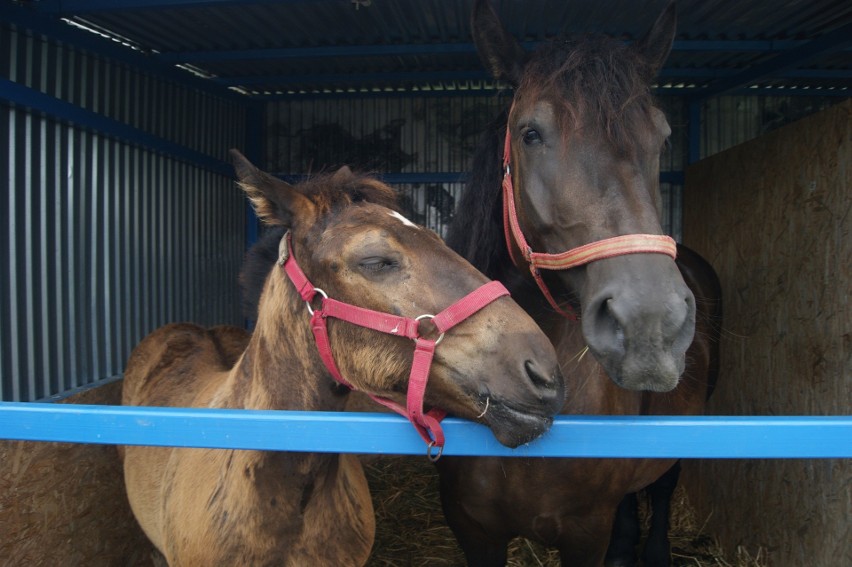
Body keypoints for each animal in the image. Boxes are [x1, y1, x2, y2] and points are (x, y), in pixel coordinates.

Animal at [440, 2, 720, 564]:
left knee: (662, 485)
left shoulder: (584, 532)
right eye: (530, 133)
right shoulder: (472, 530)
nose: (650, 322)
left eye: (662, 137)